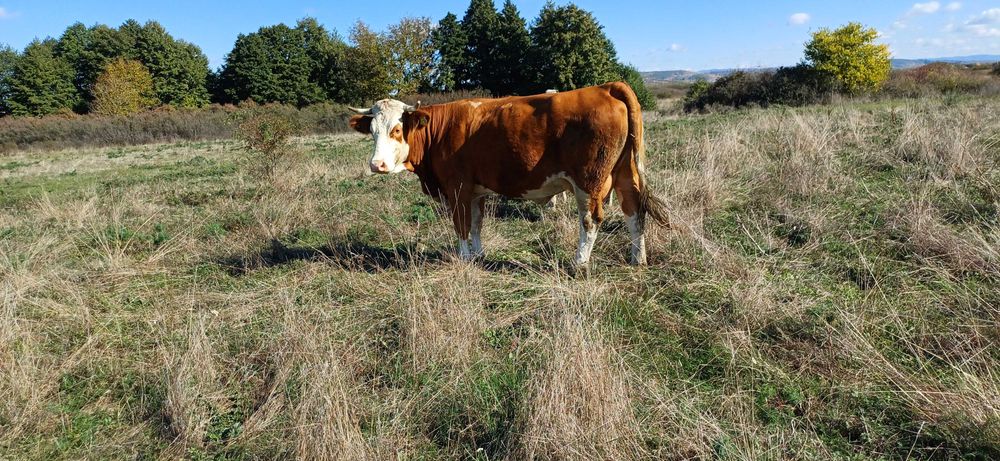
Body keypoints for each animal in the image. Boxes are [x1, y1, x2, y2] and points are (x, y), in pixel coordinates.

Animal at [348, 82, 668, 272]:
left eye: (396, 130)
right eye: (372, 131)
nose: (377, 165)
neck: (440, 129)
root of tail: (606, 87)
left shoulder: (457, 188)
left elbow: (461, 225)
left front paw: (465, 258)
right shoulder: (476, 190)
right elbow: (476, 224)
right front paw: (478, 255)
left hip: (589, 181)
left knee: (591, 220)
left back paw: (579, 263)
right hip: (625, 173)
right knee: (634, 212)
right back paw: (637, 259)